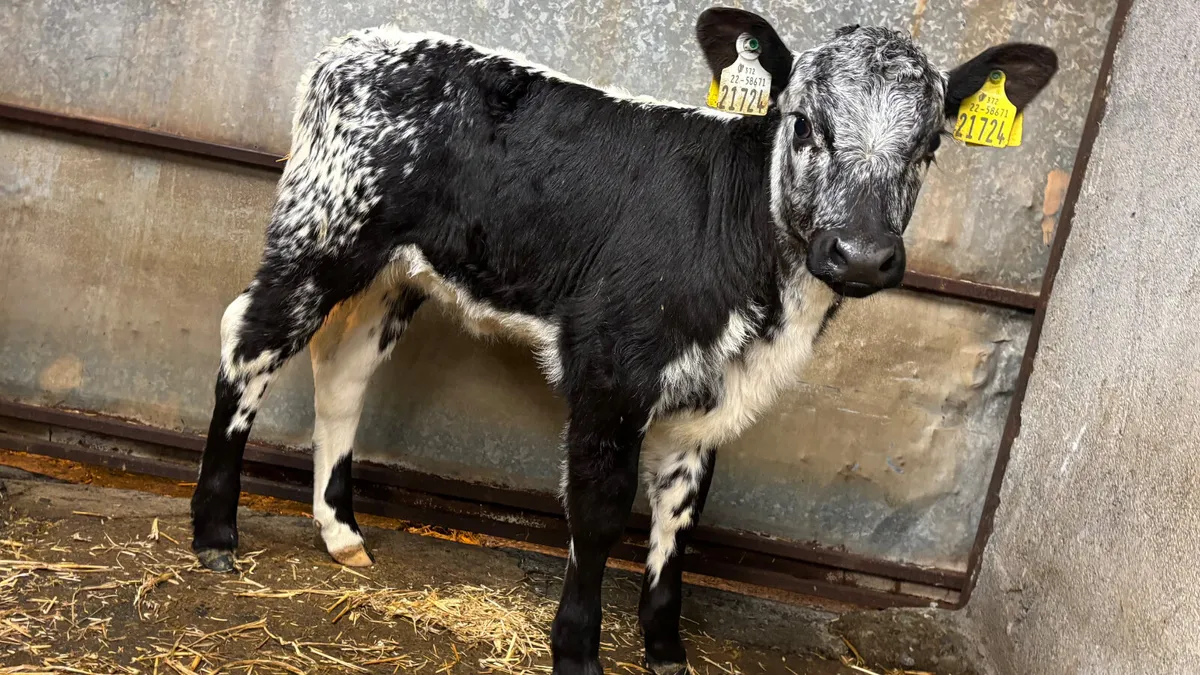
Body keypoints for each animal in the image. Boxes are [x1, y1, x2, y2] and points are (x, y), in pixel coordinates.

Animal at [188, 7, 1057, 674]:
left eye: (931, 145)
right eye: (806, 122)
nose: (864, 255)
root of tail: (362, 41)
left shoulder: (710, 393)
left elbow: (679, 519)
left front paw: (666, 649)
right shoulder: (610, 368)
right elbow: (601, 511)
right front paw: (577, 649)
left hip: (395, 271)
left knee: (342, 372)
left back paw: (341, 532)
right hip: (320, 236)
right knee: (249, 342)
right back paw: (215, 531)